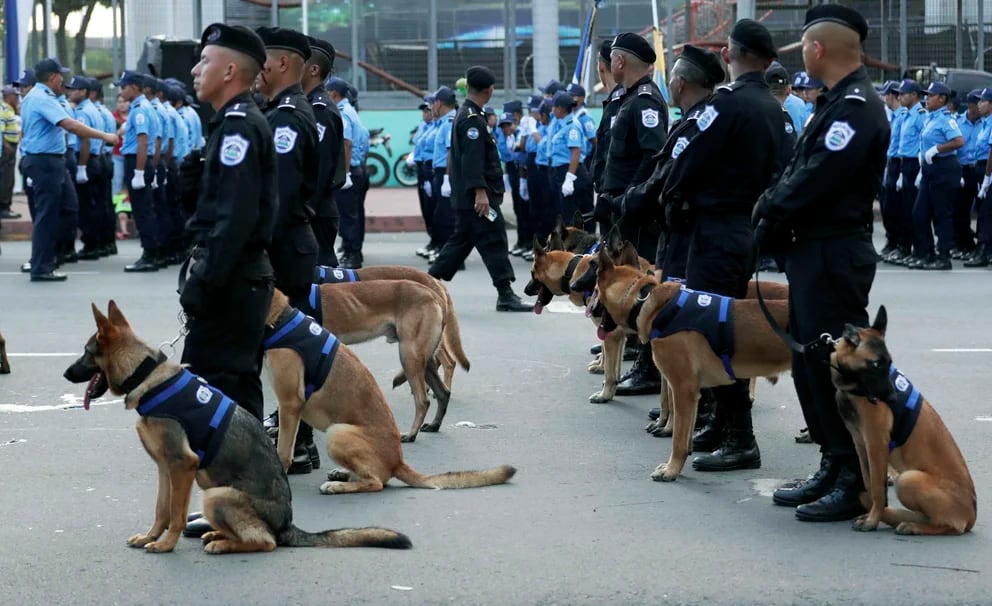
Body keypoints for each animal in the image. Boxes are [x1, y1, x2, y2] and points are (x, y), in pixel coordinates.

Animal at [63, 302, 410, 556]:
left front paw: (166, 544)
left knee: (266, 542)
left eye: (86, 353)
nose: (65, 374)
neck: (146, 374)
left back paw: (223, 542)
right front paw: (151, 536)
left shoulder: (183, 466)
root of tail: (286, 525)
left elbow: (176, 512)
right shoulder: (164, 467)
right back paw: (217, 533)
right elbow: (161, 509)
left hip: (216, 493)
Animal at [262, 292, 520, 496]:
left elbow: (283, 451)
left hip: (338, 431)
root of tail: (397, 462)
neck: (280, 320)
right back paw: (343, 474)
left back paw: (339, 486)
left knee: (375, 482)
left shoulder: (290, 405)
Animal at [588, 248, 792, 484]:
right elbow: (684, 435)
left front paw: (671, 469)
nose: (589, 309)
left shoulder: (682, 388)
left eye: (595, 291)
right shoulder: (689, 391)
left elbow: (678, 437)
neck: (643, 300)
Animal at [828, 308, 976, 536]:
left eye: (888, 363)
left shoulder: (876, 444)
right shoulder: (861, 444)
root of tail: (971, 517)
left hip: (907, 479)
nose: (892, 397)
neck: (854, 386)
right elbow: (869, 483)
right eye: (875, 364)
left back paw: (915, 526)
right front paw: (872, 514)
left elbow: (878, 489)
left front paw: (873, 520)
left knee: (950, 526)